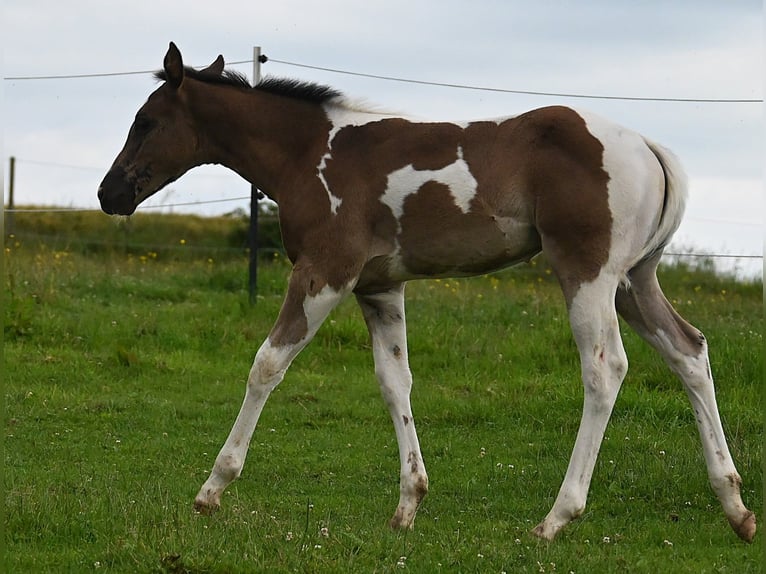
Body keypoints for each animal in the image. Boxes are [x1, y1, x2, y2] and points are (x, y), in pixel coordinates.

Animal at [98, 42, 755, 542]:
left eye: (145, 122)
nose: (109, 193)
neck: (311, 154)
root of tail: (648, 147)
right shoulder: (380, 287)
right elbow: (395, 382)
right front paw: (408, 504)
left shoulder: (324, 272)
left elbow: (267, 364)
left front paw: (212, 489)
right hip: (632, 281)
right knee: (688, 351)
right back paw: (736, 507)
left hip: (586, 274)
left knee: (605, 370)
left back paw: (556, 517)